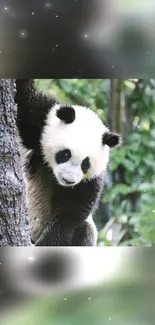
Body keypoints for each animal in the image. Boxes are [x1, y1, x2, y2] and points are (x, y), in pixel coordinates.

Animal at [14, 79, 122, 246]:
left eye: (86, 163)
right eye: (65, 154)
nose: (68, 180)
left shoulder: (90, 181)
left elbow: (71, 214)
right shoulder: (40, 123)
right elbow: (24, 100)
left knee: (84, 230)